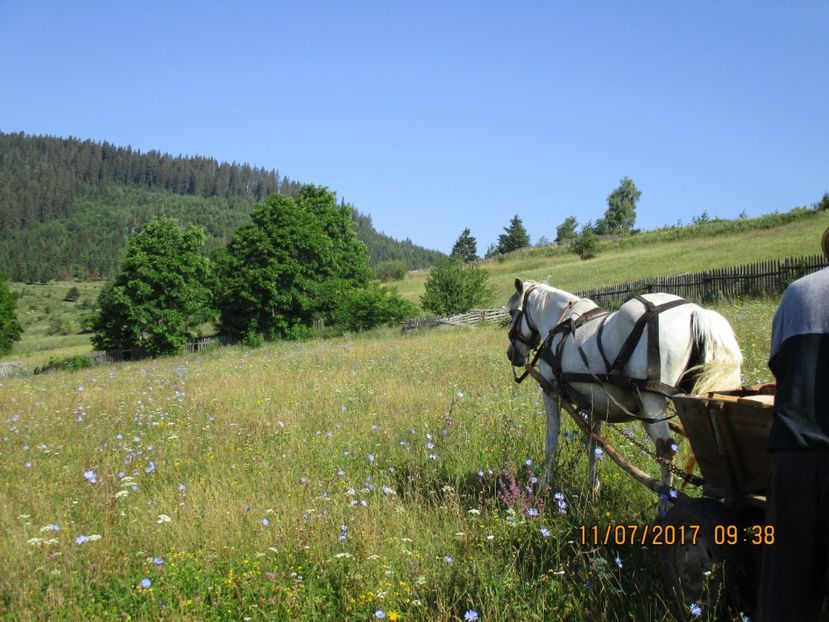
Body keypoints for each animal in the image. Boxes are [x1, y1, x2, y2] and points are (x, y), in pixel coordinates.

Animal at [508, 280, 740, 494]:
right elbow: (593, 442)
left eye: (512, 312)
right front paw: (592, 488)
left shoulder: (551, 391)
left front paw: (544, 485)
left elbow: (552, 439)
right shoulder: (593, 403)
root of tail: (695, 311)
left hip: (651, 402)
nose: (512, 354)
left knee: (666, 450)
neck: (560, 325)